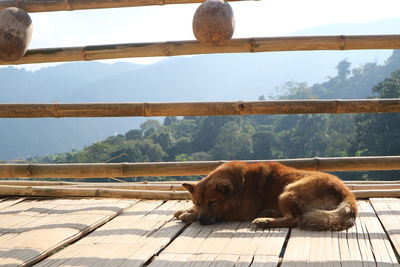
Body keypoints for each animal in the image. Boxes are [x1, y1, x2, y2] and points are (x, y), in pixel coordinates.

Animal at [173, 161, 358, 232]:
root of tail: (346, 192)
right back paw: (269, 214)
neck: (239, 185)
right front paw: (186, 210)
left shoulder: (239, 212)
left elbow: (221, 214)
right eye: (197, 202)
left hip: (288, 191)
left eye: (213, 202)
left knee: (295, 218)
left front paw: (188, 215)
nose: (202, 221)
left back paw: (265, 221)